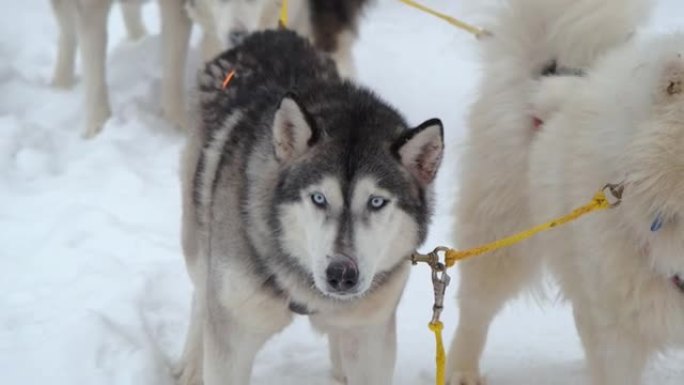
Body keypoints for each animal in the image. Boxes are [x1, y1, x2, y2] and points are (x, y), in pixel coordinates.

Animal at [176, 30, 444, 384]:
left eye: (376, 202)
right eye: (318, 198)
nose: (341, 275)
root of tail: (270, 34)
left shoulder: (369, 335)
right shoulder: (233, 335)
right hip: (199, 232)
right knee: (201, 291)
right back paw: (191, 362)